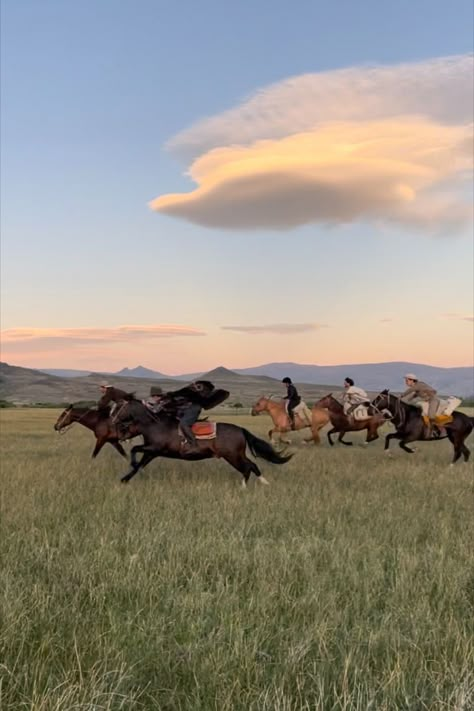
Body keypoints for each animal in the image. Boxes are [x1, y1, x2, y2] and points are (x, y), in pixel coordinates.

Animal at [114, 398, 292, 486]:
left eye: (121, 409)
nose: (115, 420)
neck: (155, 425)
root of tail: (240, 429)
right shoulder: (152, 452)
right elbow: (139, 465)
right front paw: (125, 479)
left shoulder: (153, 448)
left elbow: (135, 450)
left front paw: (129, 469)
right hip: (237, 455)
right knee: (252, 466)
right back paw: (263, 483)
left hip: (233, 456)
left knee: (248, 467)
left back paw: (245, 486)